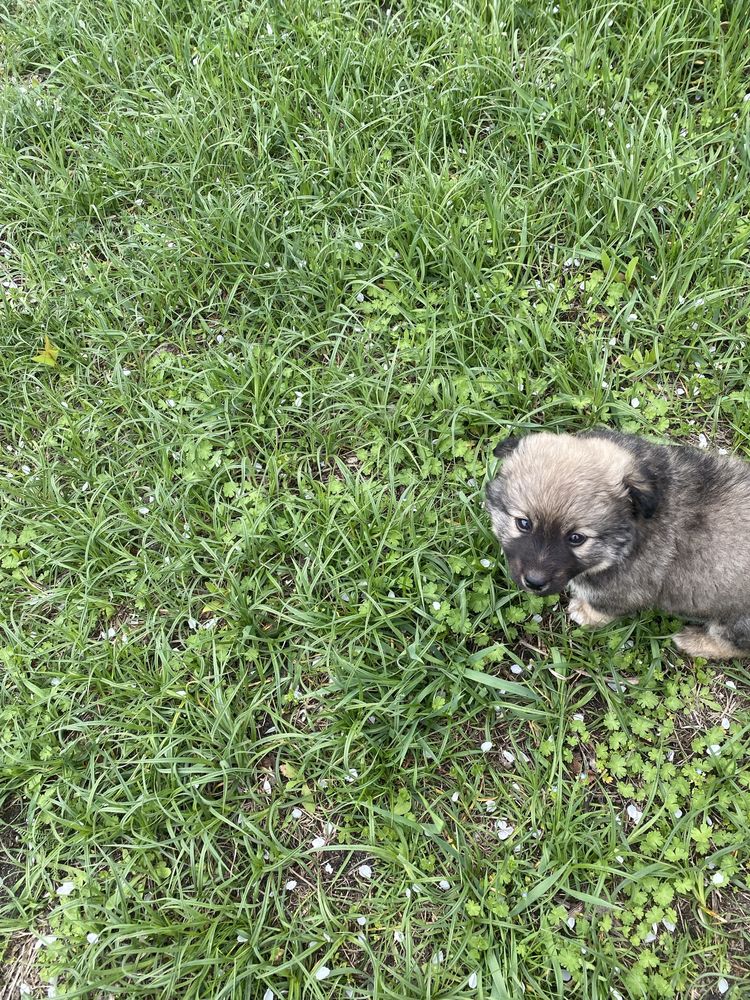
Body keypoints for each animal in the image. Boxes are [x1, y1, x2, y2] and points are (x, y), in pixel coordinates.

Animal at [484, 428, 750, 656]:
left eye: (576, 538)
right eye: (523, 523)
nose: (534, 582)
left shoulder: (620, 593)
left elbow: (601, 608)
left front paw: (583, 613)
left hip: (734, 622)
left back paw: (695, 642)